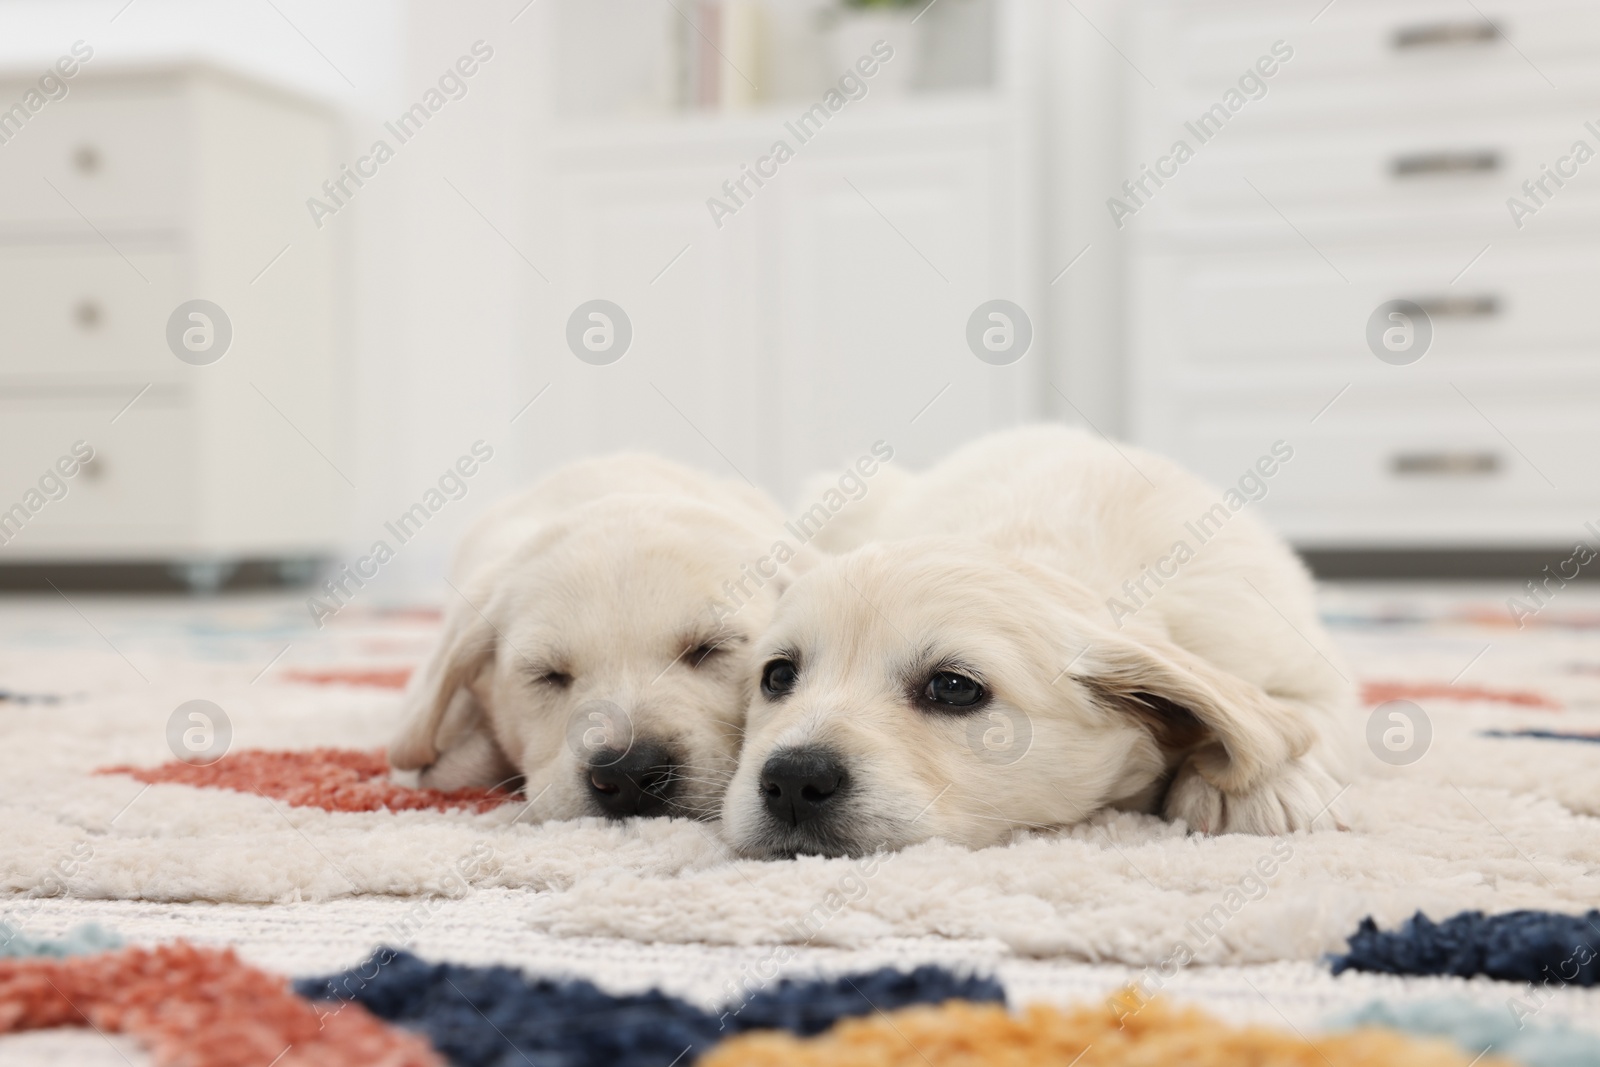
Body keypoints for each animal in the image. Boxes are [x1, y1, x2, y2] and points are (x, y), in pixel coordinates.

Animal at [726, 425, 1350, 857]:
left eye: (953, 688)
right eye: (777, 676)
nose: (792, 779)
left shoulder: (1303, 661)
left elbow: (1305, 718)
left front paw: (1255, 789)